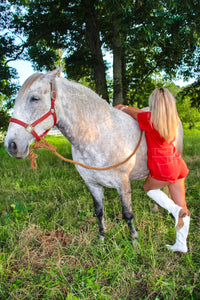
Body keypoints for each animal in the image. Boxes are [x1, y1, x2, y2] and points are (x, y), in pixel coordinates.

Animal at [3, 68, 184, 244]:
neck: (99, 134)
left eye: (35, 98)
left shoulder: (123, 183)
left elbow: (127, 213)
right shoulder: (92, 184)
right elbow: (99, 212)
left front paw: (134, 242)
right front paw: (101, 240)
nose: (11, 145)